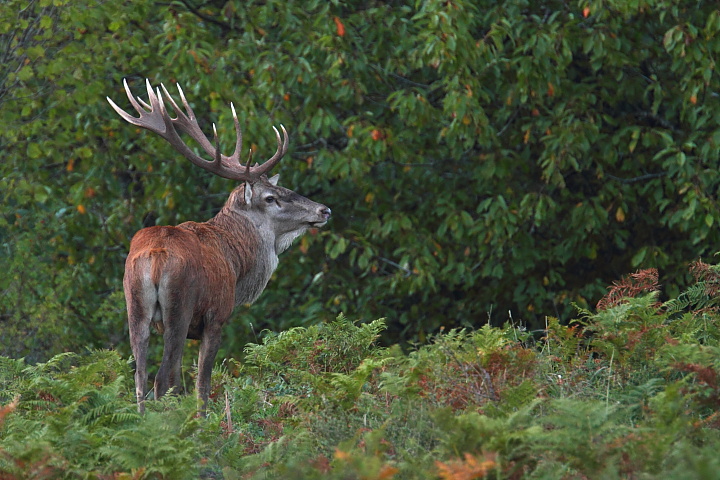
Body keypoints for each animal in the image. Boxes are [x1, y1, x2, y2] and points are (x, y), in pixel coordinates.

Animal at [107, 79, 332, 412]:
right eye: (271, 198)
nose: (324, 210)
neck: (238, 264)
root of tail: (156, 257)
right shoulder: (216, 317)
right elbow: (203, 384)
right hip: (180, 306)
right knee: (163, 379)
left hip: (134, 306)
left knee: (139, 378)